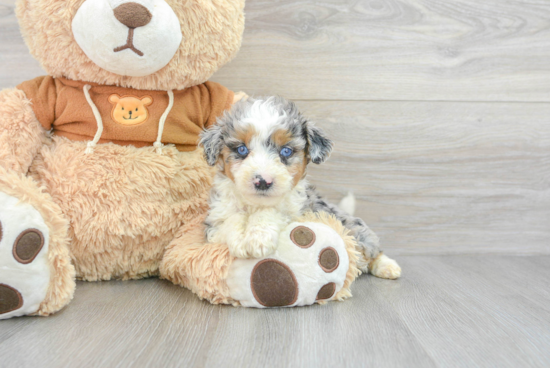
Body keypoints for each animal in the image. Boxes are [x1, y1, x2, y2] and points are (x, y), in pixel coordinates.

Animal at [201, 95, 404, 278]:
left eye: (286, 151)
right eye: (241, 149)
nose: (263, 181)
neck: (255, 205)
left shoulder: (300, 214)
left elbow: (273, 213)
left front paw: (258, 239)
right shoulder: (213, 226)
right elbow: (230, 221)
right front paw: (240, 241)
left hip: (354, 229)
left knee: (371, 248)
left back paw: (388, 267)